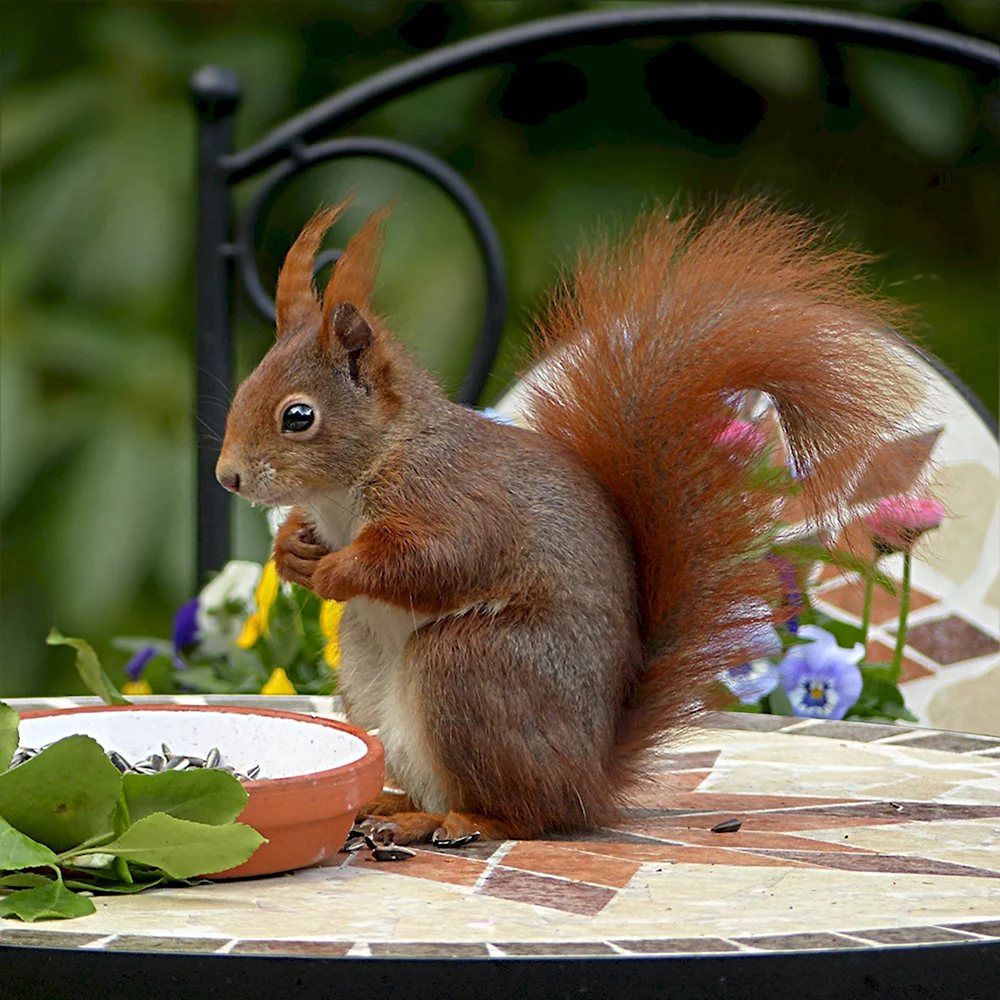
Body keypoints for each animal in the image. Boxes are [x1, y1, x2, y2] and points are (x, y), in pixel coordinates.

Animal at [216, 199, 921, 844]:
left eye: (298, 416)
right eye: (243, 390)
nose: (228, 477)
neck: (355, 481)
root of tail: (590, 779)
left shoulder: (455, 499)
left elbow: (443, 559)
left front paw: (337, 571)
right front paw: (293, 552)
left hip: (471, 667)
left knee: (525, 815)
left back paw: (457, 820)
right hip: (368, 671)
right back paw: (396, 807)